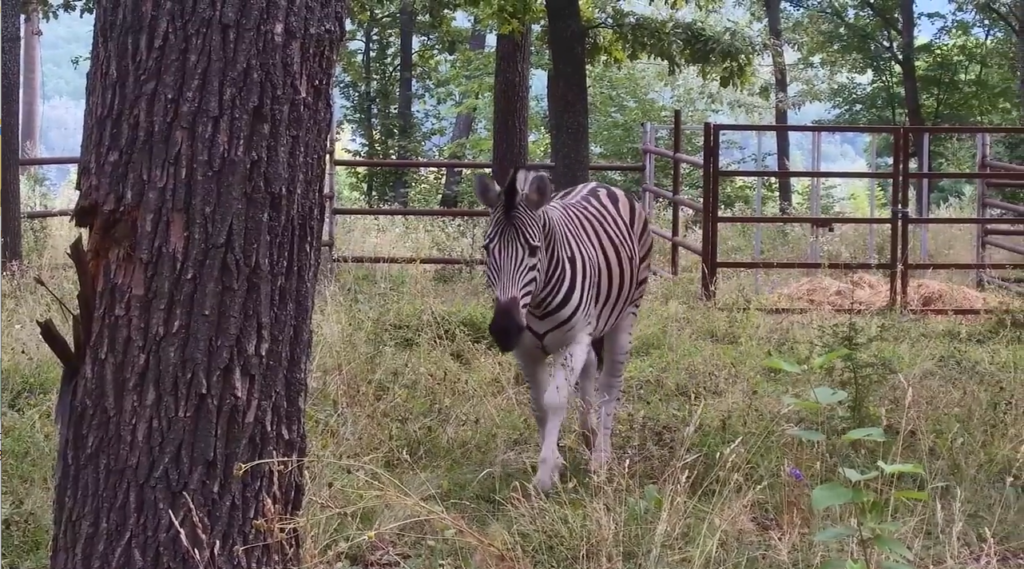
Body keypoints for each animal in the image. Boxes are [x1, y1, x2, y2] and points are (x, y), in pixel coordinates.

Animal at [468, 166, 651, 491]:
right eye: (487, 248)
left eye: (534, 249)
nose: (504, 329)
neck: (536, 302)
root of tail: (600, 183)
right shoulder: (527, 350)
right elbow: (538, 405)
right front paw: (554, 463)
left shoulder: (573, 341)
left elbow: (554, 401)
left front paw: (544, 476)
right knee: (590, 367)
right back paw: (589, 434)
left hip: (626, 315)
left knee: (610, 385)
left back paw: (601, 459)